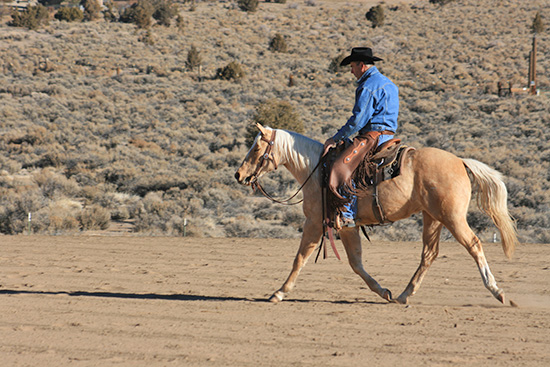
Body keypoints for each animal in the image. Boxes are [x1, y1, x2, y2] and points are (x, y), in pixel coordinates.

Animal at [235, 123, 520, 304]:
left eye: (257, 148)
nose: (239, 175)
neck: (316, 170)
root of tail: (460, 161)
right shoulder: (347, 226)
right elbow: (356, 263)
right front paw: (383, 291)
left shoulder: (315, 223)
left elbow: (300, 259)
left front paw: (279, 293)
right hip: (433, 218)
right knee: (429, 254)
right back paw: (404, 295)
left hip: (452, 218)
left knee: (474, 244)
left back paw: (497, 291)